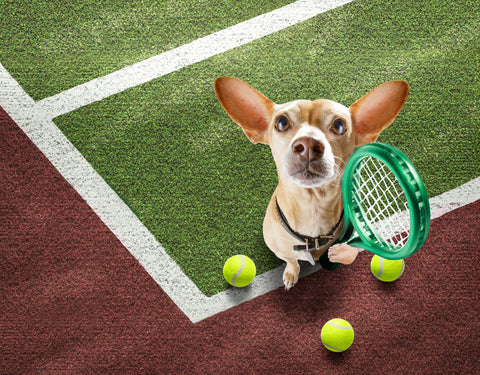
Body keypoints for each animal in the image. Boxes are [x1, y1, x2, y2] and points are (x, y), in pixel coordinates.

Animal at [216, 78, 406, 290]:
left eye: (339, 125)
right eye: (281, 122)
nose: (307, 145)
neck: (312, 206)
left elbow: (351, 253)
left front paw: (339, 253)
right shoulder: (280, 250)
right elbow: (291, 259)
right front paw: (291, 273)